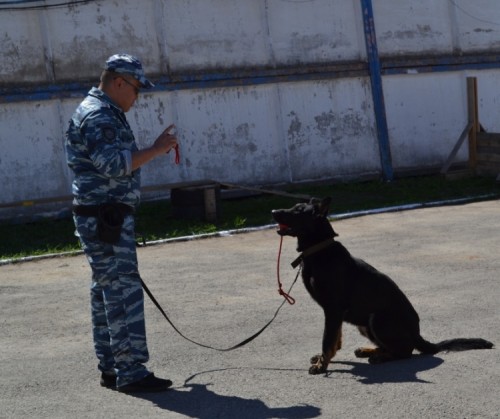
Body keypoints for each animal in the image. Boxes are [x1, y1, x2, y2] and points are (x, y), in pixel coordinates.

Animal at [270, 199, 492, 376]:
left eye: (298, 210)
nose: (272, 211)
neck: (320, 248)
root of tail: (417, 334)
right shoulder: (336, 314)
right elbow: (335, 340)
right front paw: (325, 359)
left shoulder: (333, 310)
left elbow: (328, 340)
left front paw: (322, 365)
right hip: (364, 324)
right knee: (393, 347)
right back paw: (370, 351)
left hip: (377, 319)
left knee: (405, 351)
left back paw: (380, 357)